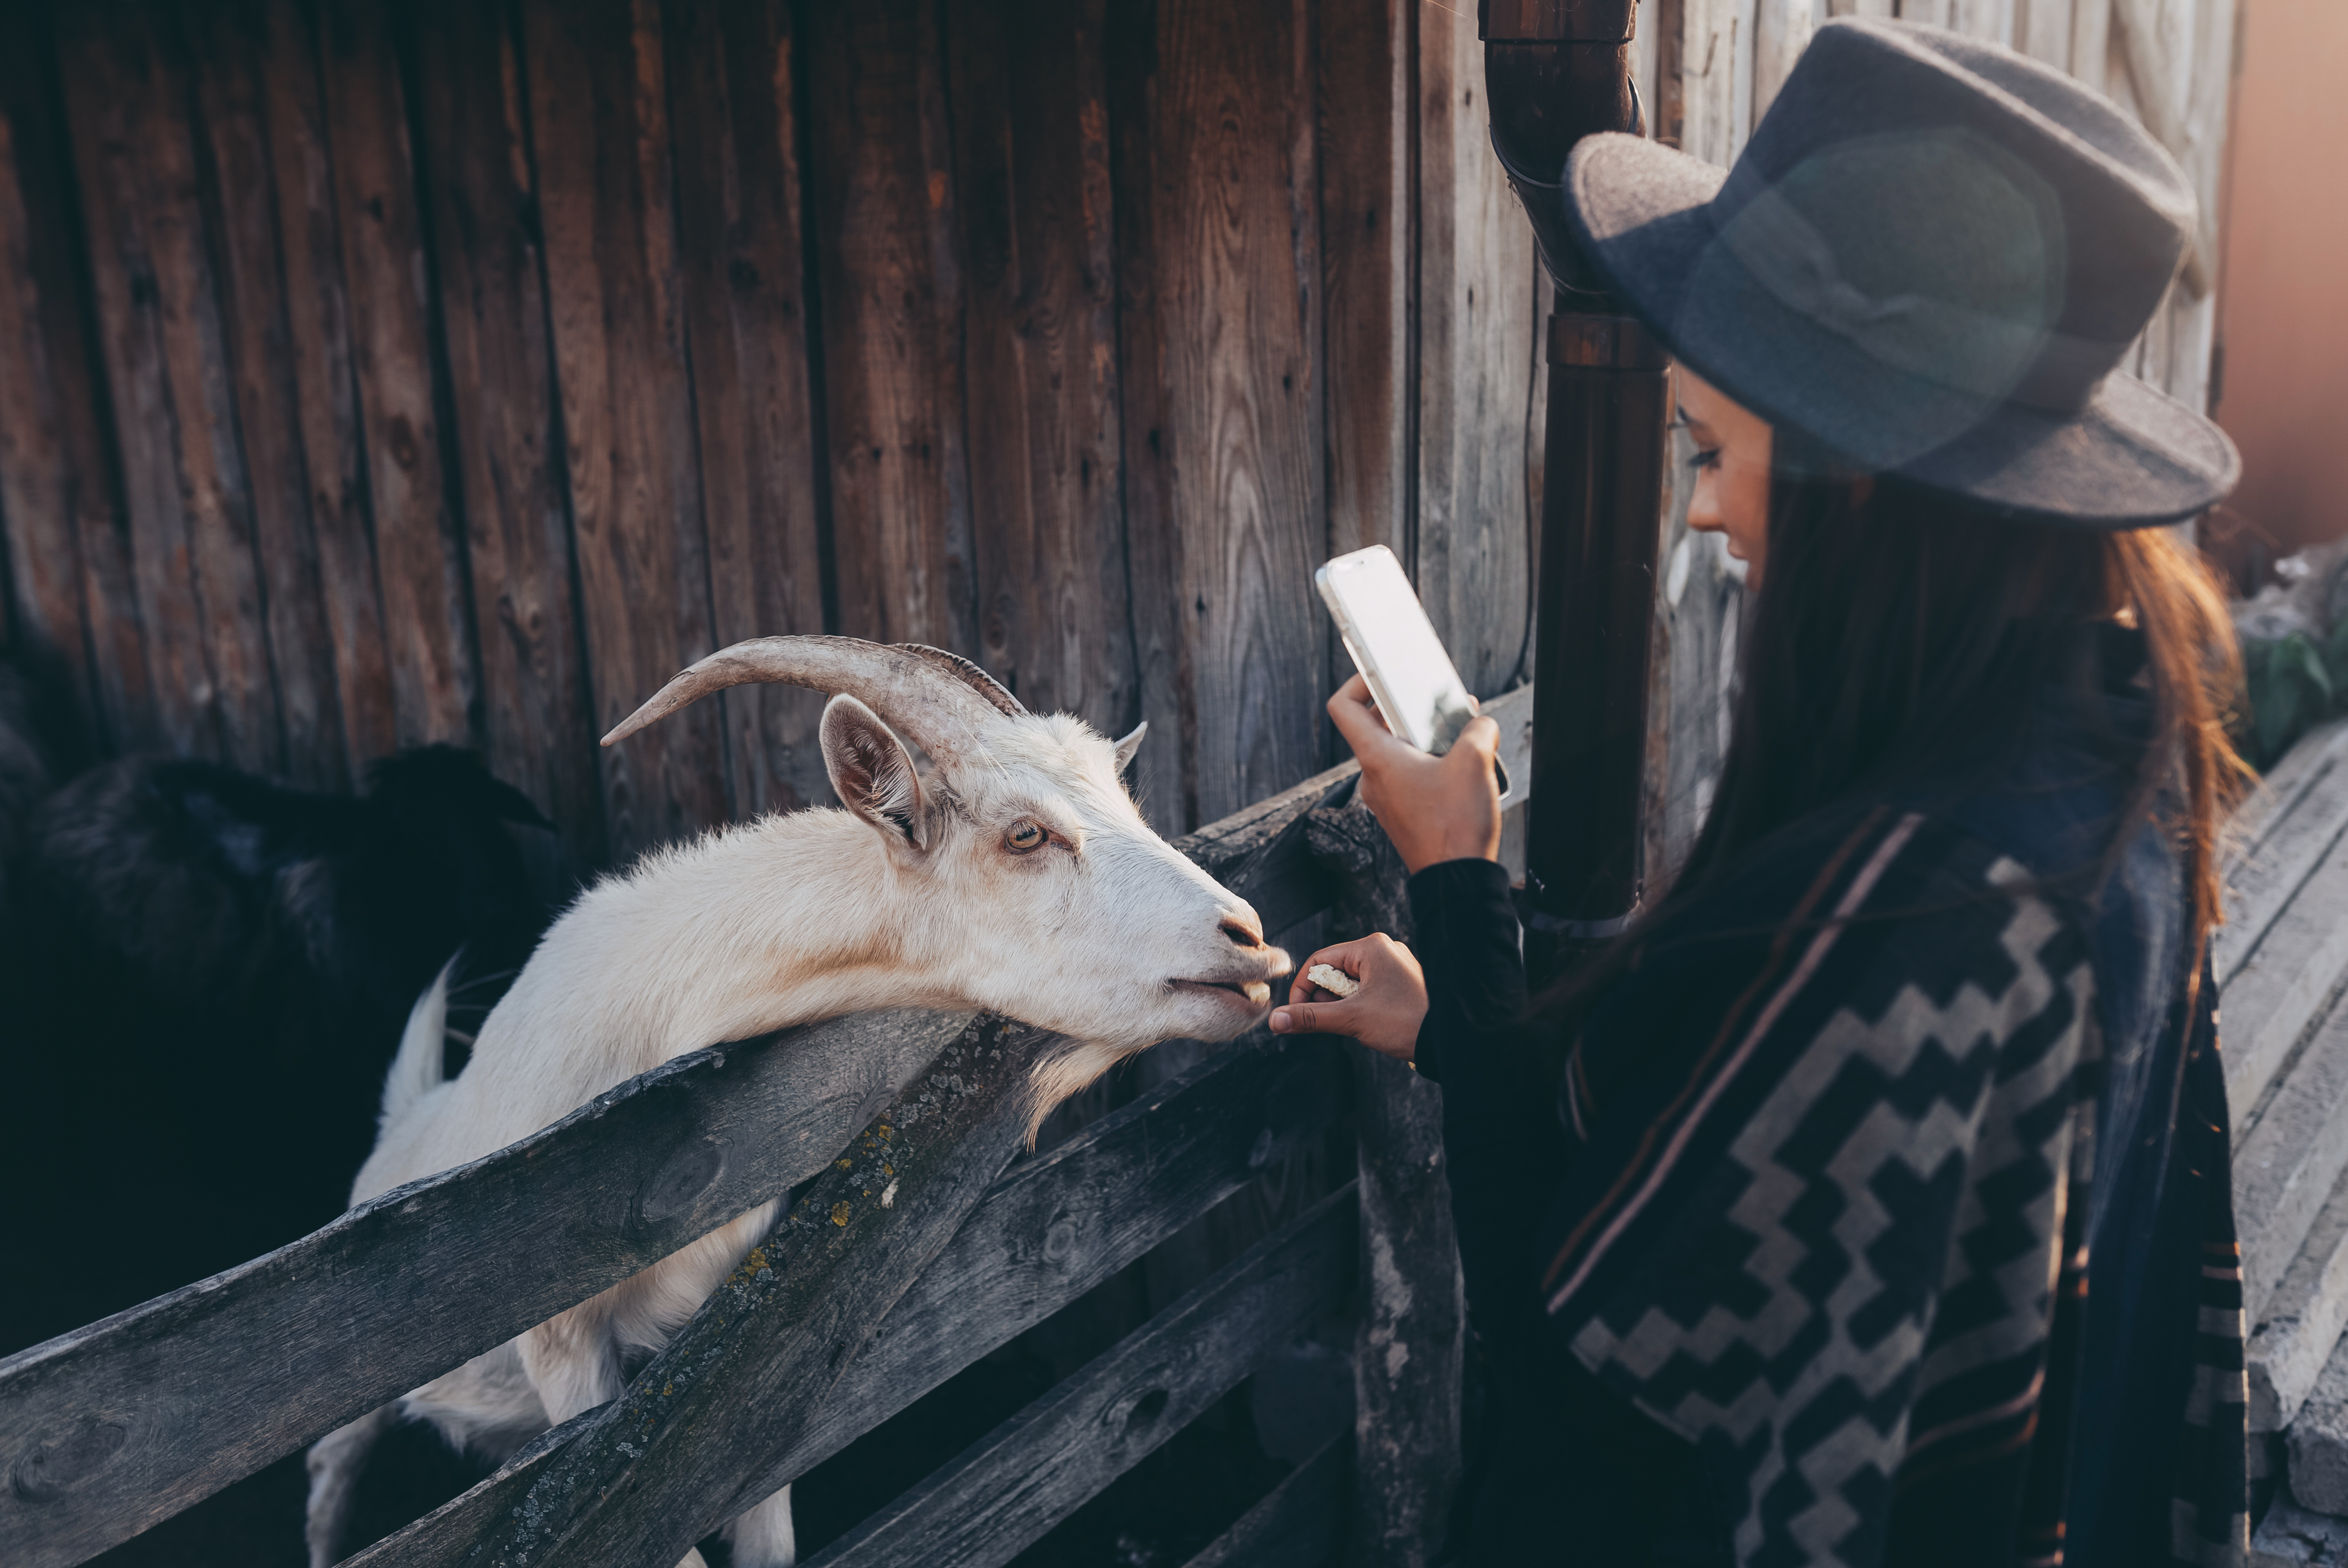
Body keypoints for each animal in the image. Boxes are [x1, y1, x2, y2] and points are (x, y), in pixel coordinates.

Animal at [305, 638, 1296, 1568]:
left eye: (1127, 805)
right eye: (1025, 835)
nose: (1248, 939)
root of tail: (402, 1126)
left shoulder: (732, 1382)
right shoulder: (565, 1357)